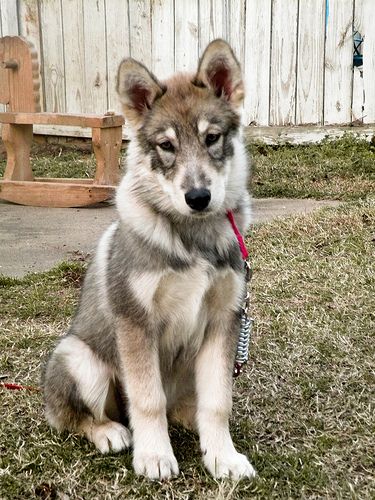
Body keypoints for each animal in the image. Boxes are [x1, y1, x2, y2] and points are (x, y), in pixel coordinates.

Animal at [43, 40, 256, 480]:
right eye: (166, 146)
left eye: (212, 137)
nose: (198, 198)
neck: (192, 238)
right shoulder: (136, 322)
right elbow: (147, 399)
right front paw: (155, 455)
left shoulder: (224, 320)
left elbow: (218, 401)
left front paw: (223, 456)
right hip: (80, 360)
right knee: (77, 418)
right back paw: (110, 432)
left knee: (186, 406)